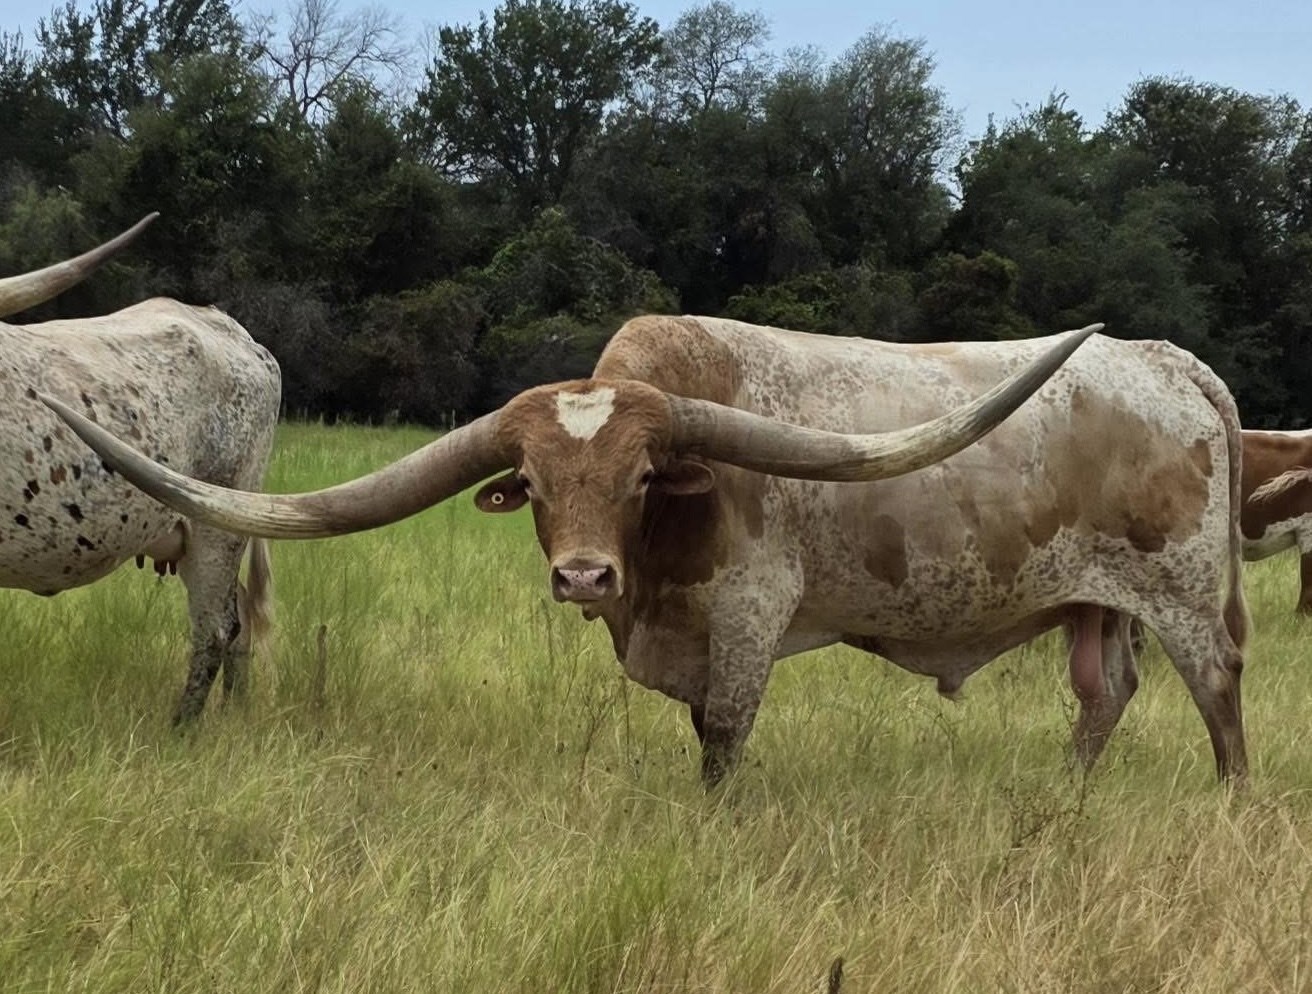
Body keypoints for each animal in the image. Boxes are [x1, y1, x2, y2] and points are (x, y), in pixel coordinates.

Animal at [2, 217, 282, 722]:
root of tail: (246, 340)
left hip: (217, 524)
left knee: (217, 629)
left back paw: (182, 728)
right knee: (241, 624)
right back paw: (234, 715)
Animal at [41, 317, 1249, 787]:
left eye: (636, 480)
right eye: (533, 488)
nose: (584, 575)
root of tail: (1171, 362)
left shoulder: (751, 616)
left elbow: (723, 736)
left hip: (1186, 595)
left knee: (1221, 694)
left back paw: (1230, 803)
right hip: (1100, 603)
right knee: (1104, 693)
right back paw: (1067, 794)